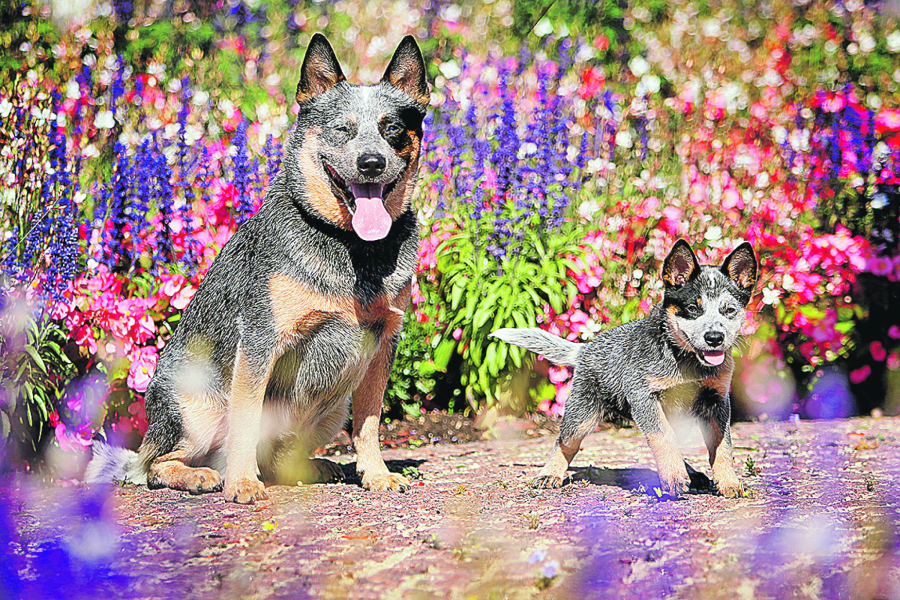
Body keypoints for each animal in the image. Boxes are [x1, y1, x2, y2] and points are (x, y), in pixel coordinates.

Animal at [86, 32, 430, 502]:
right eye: (341, 129)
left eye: (392, 128)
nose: (371, 162)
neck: (352, 248)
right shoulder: (261, 341)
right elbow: (246, 420)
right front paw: (242, 483)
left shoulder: (382, 342)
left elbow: (370, 423)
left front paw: (375, 474)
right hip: (194, 407)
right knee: (154, 465)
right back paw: (202, 475)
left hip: (332, 409)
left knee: (281, 456)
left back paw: (313, 468)